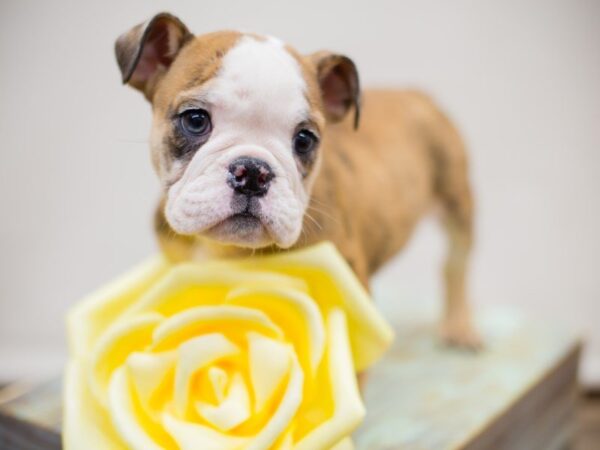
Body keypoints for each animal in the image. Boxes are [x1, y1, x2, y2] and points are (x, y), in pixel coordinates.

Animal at [115, 12, 480, 346]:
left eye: (305, 139)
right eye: (195, 120)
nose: (253, 172)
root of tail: (418, 94)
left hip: (457, 201)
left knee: (456, 264)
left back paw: (460, 327)